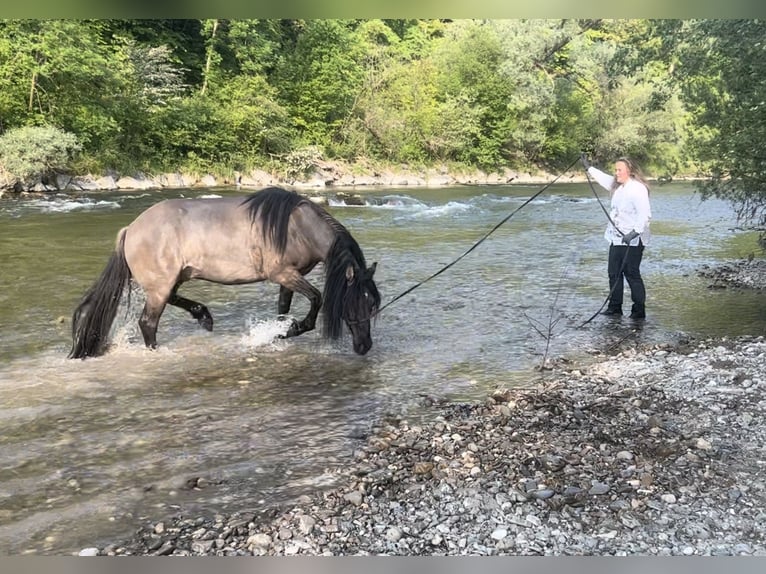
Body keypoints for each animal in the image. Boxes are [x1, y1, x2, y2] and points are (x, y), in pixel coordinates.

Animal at [69, 186, 380, 359]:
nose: (365, 346)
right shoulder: (282, 274)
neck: (297, 227)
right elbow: (316, 299)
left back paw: (203, 315)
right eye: (354, 304)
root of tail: (131, 229)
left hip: (173, 280)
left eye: (372, 305)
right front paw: (293, 329)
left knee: (174, 300)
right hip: (159, 288)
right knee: (148, 323)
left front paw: (277, 333)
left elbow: (283, 308)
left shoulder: (290, 277)